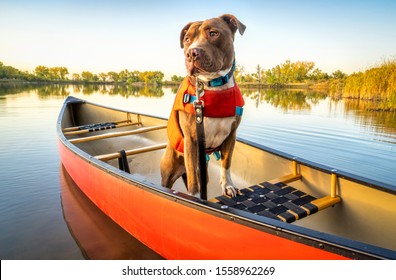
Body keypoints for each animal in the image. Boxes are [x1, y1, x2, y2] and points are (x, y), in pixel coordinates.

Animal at [160, 13, 246, 197]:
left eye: (213, 33)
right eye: (187, 39)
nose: (191, 53)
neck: (212, 85)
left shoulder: (231, 135)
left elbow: (226, 164)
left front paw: (227, 185)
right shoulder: (191, 140)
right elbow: (193, 178)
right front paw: (193, 198)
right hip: (169, 171)